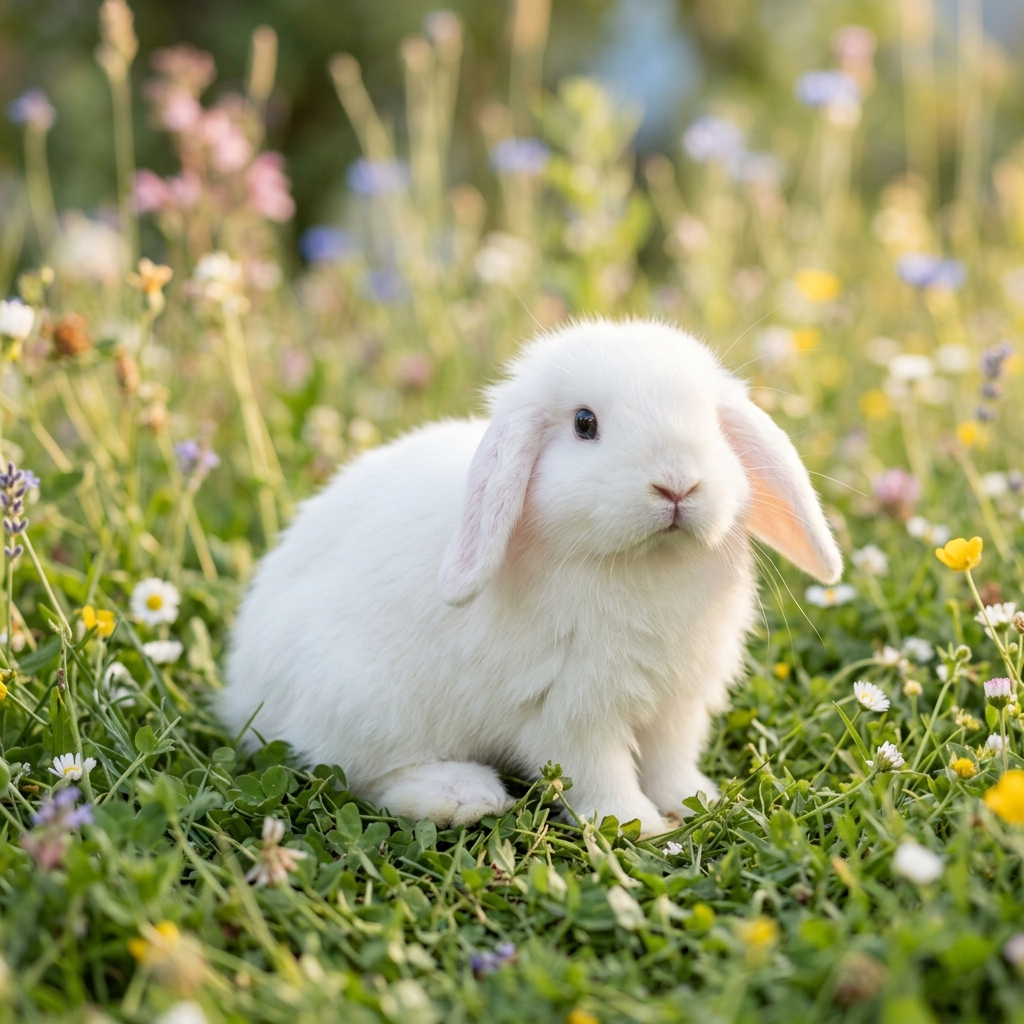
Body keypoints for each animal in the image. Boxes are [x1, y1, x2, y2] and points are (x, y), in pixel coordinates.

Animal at [221, 317, 842, 836]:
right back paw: (460, 796)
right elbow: (602, 777)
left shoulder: (676, 706)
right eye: (585, 424)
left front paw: (702, 802)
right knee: (361, 771)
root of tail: (244, 681)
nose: (677, 484)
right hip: (363, 699)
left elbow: (670, 766)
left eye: (712, 422)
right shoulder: (569, 712)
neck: (642, 562)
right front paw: (643, 831)